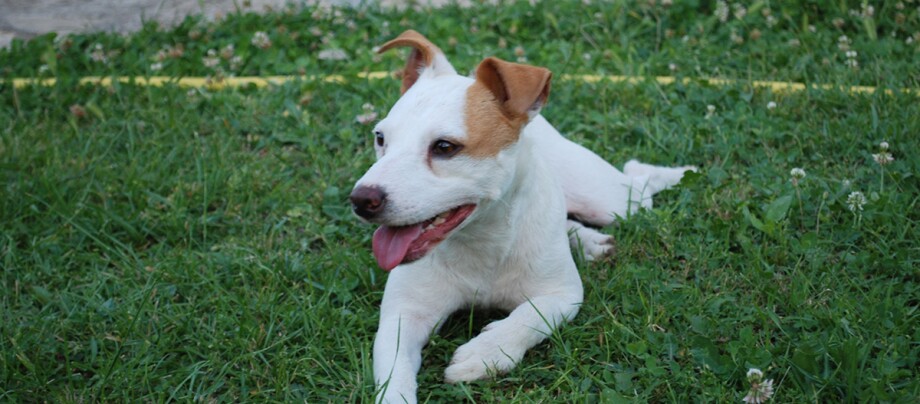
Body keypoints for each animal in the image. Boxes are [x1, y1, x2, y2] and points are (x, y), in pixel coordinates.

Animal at [348, 30, 692, 402]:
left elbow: (530, 316)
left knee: (637, 182)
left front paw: (485, 352)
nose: (361, 199)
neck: (482, 237)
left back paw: (670, 175)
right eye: (380, 138)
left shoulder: (562, 295)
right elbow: (394, 376)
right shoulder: (402, 316)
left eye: (445, 147)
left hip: (613, 201)